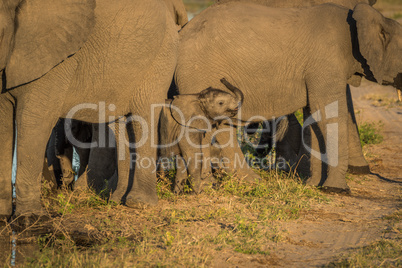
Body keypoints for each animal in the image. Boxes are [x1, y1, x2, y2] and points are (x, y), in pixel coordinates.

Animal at [0, 0, 179, 221]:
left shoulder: (56, 59)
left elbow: (34, 118)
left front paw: (31, 218)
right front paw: (3, 216)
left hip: (161, 54)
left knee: (142, 116)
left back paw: (138, 203)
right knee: (120, 124)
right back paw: (117, 199)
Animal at [175, 2, 402, 193]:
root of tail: (182, 32)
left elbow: (315, 115)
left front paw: (313, 185)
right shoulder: (327, 64)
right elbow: (329, 114)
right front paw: (336, 190)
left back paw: (249, 182)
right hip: (199, 74)